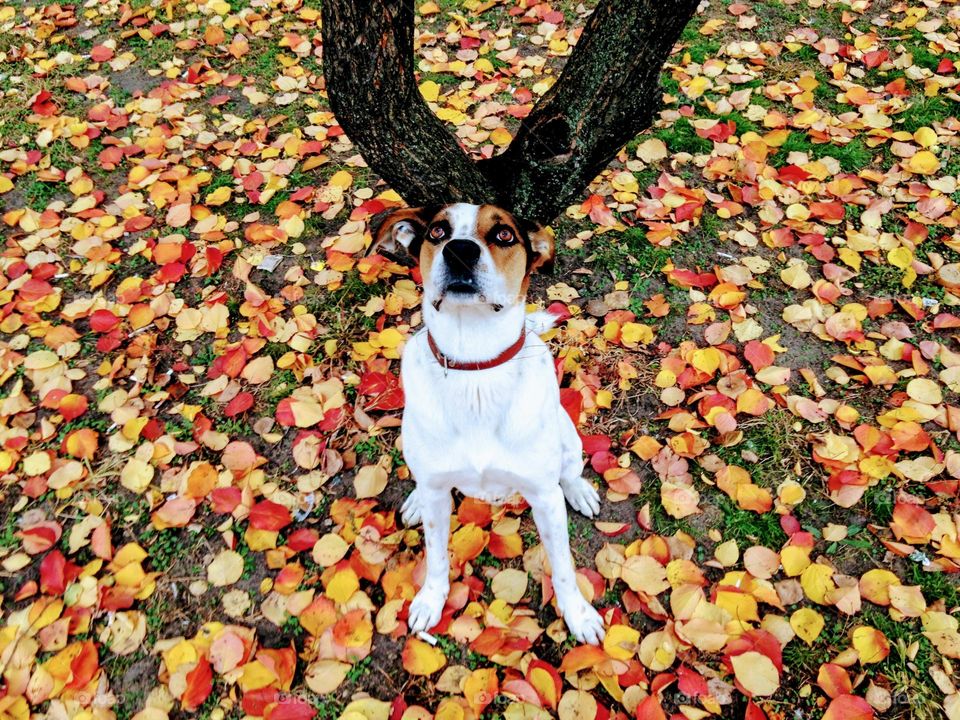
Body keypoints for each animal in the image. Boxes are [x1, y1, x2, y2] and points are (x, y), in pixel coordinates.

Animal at [372, 204, 604, 648]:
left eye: (504, 235)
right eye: (438, 231)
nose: (459, 251)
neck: (475, 368)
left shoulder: (544, 498)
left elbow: (564, 566)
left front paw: (579, 615)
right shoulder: (438, 495)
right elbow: (436, 556)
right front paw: (431, 600)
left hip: (567, 435)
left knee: (569, 470)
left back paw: (579, 490)